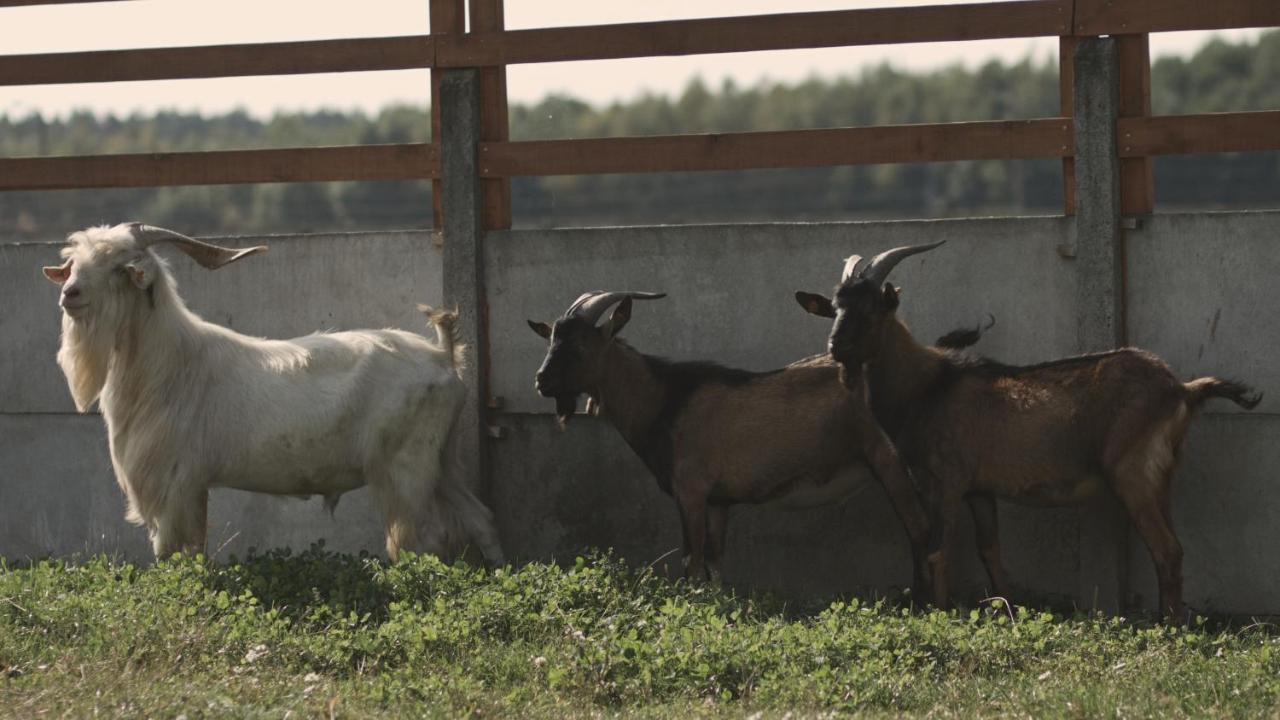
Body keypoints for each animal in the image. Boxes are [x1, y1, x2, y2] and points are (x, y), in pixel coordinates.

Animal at [41, 222, 499, 561]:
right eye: (75, 263)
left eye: (120, 266)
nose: (69, 293)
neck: (169, 364)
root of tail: (443, 357)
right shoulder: (194, 485)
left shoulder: (174, 483)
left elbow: (175, 553)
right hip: (442, 459)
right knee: (480, 519)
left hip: (406, 465)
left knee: (424, 539)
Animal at [524, 289, 983, 589]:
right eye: (551, 341)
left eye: (582, 345)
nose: (542, 381)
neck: (666, 399)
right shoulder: (719, 501)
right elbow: (714, 565)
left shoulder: (691, 490)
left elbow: (690, 562)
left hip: (890, 463)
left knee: (921, 531)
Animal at [793, 240, 1264, 617]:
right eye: (834, 308)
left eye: (873, 308)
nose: (836, 347)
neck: (928, 386)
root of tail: (1181, 389)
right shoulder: (979, 490)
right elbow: (990, 551)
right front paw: (1008, 611)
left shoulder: (946, 482)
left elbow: (938, 551)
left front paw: (940, 615)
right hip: (1161, 475)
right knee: (1173, 548)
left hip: (1133, 473)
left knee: (1166, 549)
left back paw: (1169, 628)